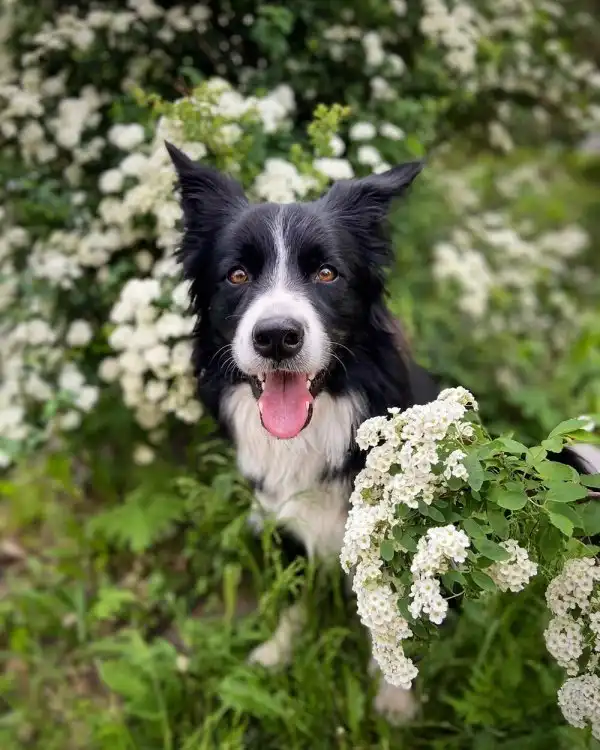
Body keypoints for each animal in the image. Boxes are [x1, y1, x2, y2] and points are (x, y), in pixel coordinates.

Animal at [165, 141, 600, 721]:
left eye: (327, 274)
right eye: (236, 276)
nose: (277, 336)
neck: (320, 423)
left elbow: (398, 622)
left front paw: (395, 699)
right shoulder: (281, 516)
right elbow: (293, 594)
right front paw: (276, 653)